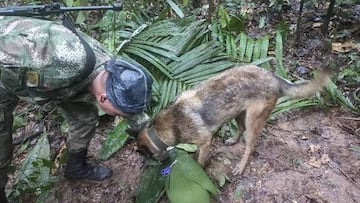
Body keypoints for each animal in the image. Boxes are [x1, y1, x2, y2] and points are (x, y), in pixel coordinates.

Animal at [136, 64, 330, 174]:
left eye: (148, 156)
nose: (160, 163)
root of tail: (274, 78)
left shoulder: (205, 141)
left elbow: (200, 161)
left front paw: (199, 170)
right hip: (237, 112)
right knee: (240, 128)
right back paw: (233, 140)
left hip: (253, 121)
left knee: (250, 146)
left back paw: (241, 166)